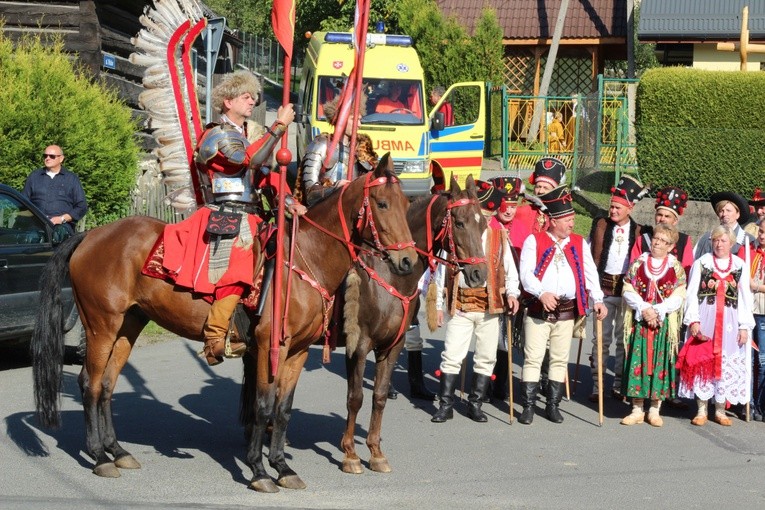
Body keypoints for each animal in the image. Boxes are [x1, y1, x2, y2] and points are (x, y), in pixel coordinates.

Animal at [31, 156, 418, 494]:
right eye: (382, 203)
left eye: (405, 203)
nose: (407, 260)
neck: (305, 260)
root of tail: (90, 236)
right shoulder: (272, 348)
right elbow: (263, 406)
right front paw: (259, 471)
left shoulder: (297, 353)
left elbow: (284, 410)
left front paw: (282, 468)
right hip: (102, 326)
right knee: (90, 383)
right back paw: (99, 456)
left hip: (128, 326)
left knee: (108, 385)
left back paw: (118, 451)